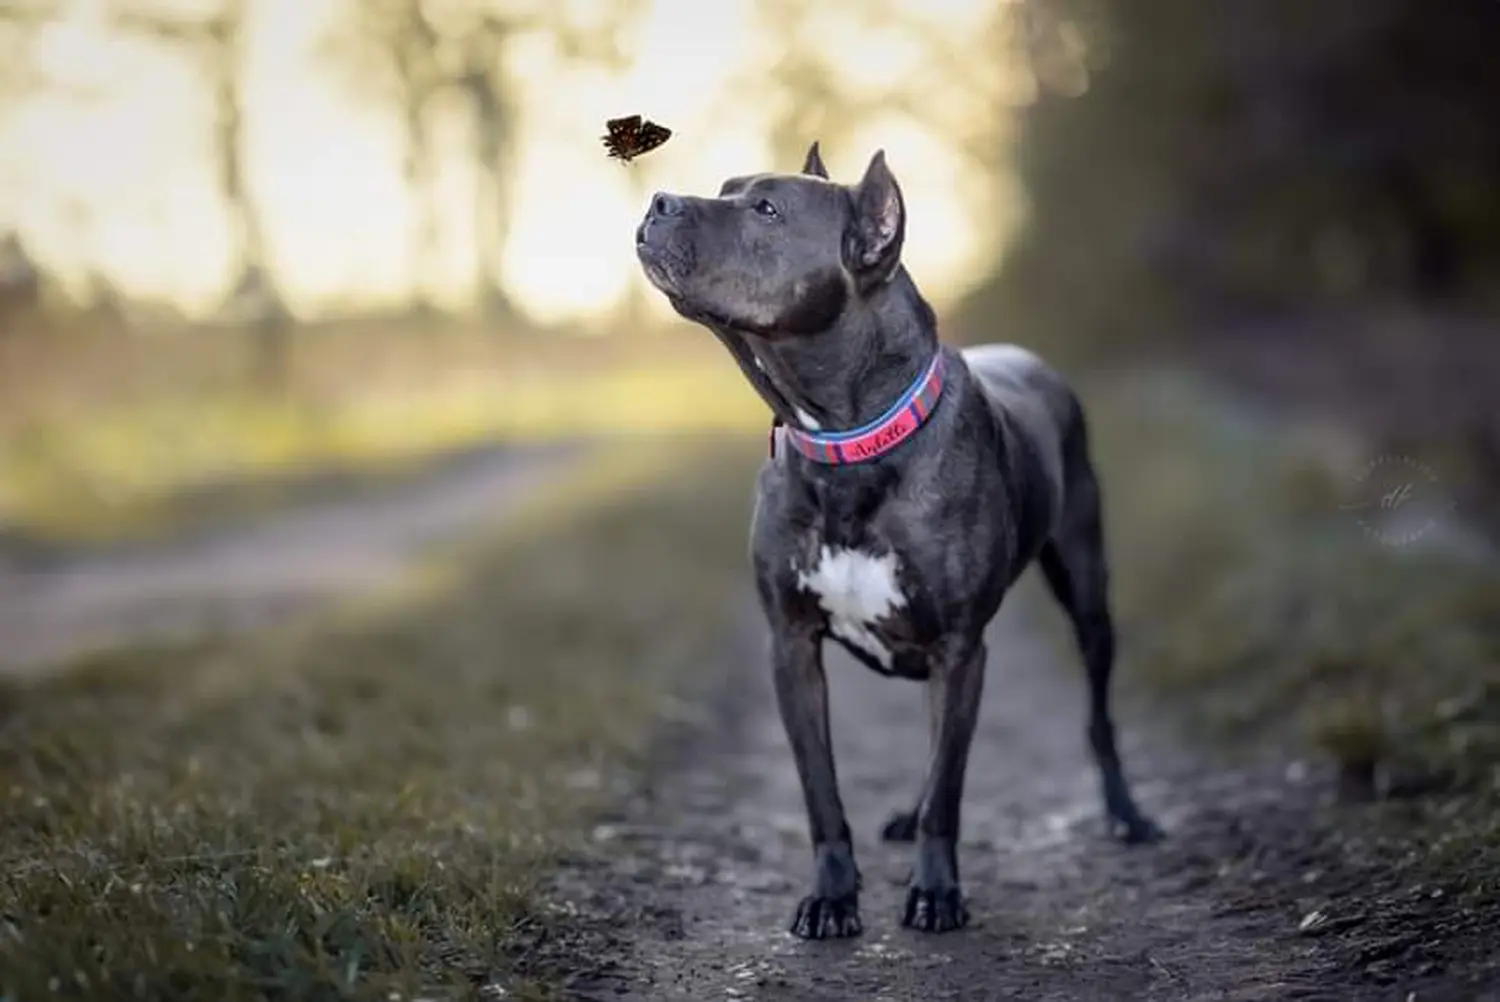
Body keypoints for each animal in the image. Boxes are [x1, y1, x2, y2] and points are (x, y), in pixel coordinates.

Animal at [633, 141, 1158, 942]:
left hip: (1088, 596)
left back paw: (1126, 814)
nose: (659, 201)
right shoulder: (792, 647)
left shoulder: (961, 648)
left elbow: (950, 788)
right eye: (727, 188)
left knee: (1093, 719)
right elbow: (823, 790)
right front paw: (832, 896)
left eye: (767, 209)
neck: (846, 443)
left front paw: (936, 891)